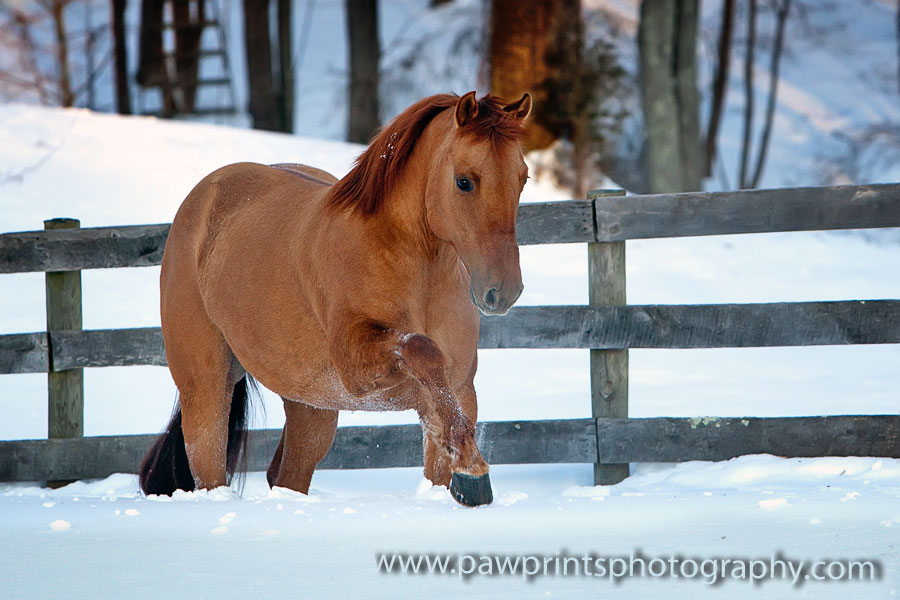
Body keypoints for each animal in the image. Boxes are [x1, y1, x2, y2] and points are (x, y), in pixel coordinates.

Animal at [140, 91, 532, 506]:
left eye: (522, 178)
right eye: (464, 182)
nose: (503, 290)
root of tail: (200, 202)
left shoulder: (456, 392)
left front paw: (467, 473)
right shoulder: (356, 367)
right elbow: (421, 349)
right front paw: (474, 471)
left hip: (311, 407)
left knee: (287, 474)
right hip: (207, 391)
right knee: (210, 468)